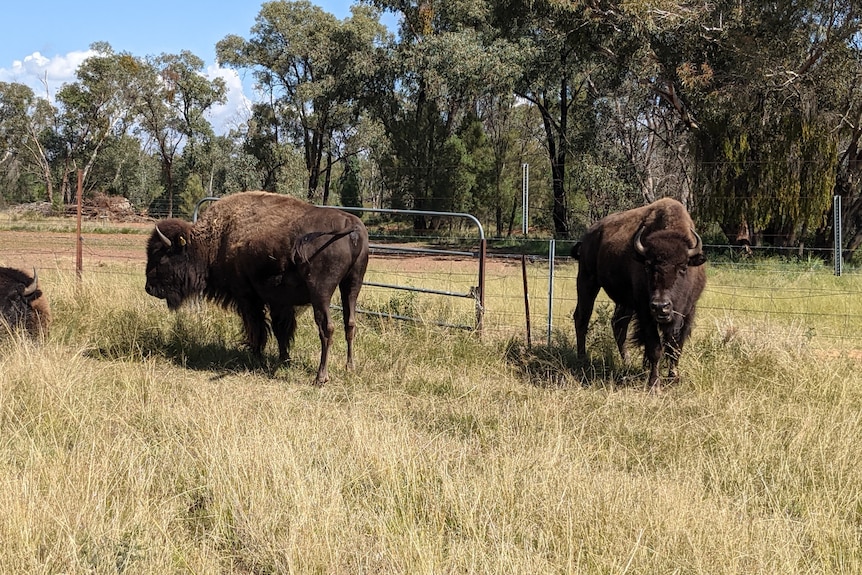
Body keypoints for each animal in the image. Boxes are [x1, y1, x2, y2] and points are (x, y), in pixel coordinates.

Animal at [145, 191, 368, 384]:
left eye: (161, 257)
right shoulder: (279, 301)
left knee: (326, 328)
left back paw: (321, 377)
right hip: (352, 285)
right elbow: (280, 329)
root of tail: (351, 225)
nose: (148, 288)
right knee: (350, 323)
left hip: (320, 292)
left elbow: (257, 327)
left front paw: (256, 355)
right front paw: (283, 359)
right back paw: (350, 367)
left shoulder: (247, 298)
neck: (215, 239)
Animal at [572, 199, 708, 392]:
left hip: (624, 302)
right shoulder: (645, 312)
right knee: (582, 317)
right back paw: (582, 359)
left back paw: (627, 362)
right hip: (587, 280)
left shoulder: (687, 312)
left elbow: (675, 347)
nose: (660, 306)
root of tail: (588, 236)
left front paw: (673, 378)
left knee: (618, 325)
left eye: (682, 267)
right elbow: (655, 348)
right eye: (648, 266)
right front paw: (654, 384)